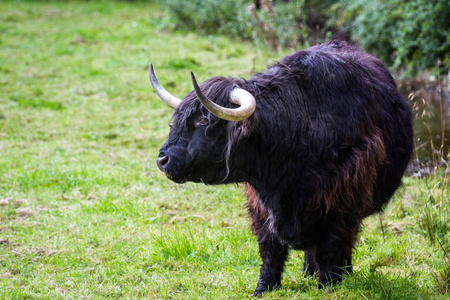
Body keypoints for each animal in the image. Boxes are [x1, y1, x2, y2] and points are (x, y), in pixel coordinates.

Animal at [149, 41, 414, 296]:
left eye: (203, 120)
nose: (163, 160)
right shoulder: (260, 206)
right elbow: (270, 250)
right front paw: (263, 288)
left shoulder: (342, 201)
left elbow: (332, 248)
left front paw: (328, 286)